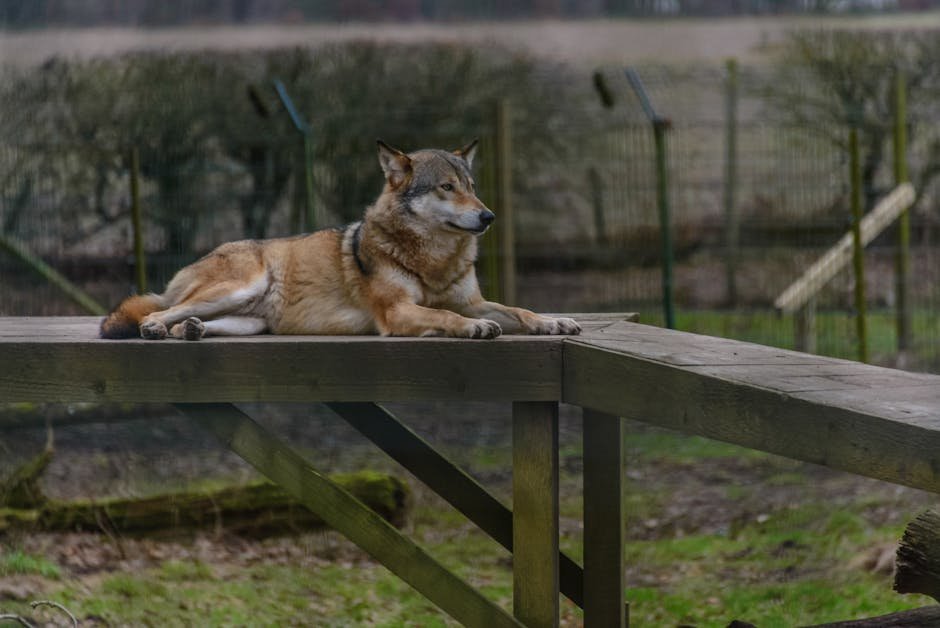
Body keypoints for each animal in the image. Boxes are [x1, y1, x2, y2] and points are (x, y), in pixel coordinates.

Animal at [99, 140, 581, 340]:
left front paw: (554, 322)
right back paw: (155, 328)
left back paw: (191, 331)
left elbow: (518, 310)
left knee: (194, 321)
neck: (434, 259)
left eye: (472, 186)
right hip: (237, 287)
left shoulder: (471, 300)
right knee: (159, 311)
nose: (488, 216)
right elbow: (445, 316)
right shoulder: (398, 311)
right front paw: (474, 329)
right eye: (447, 188)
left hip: (250, 320)